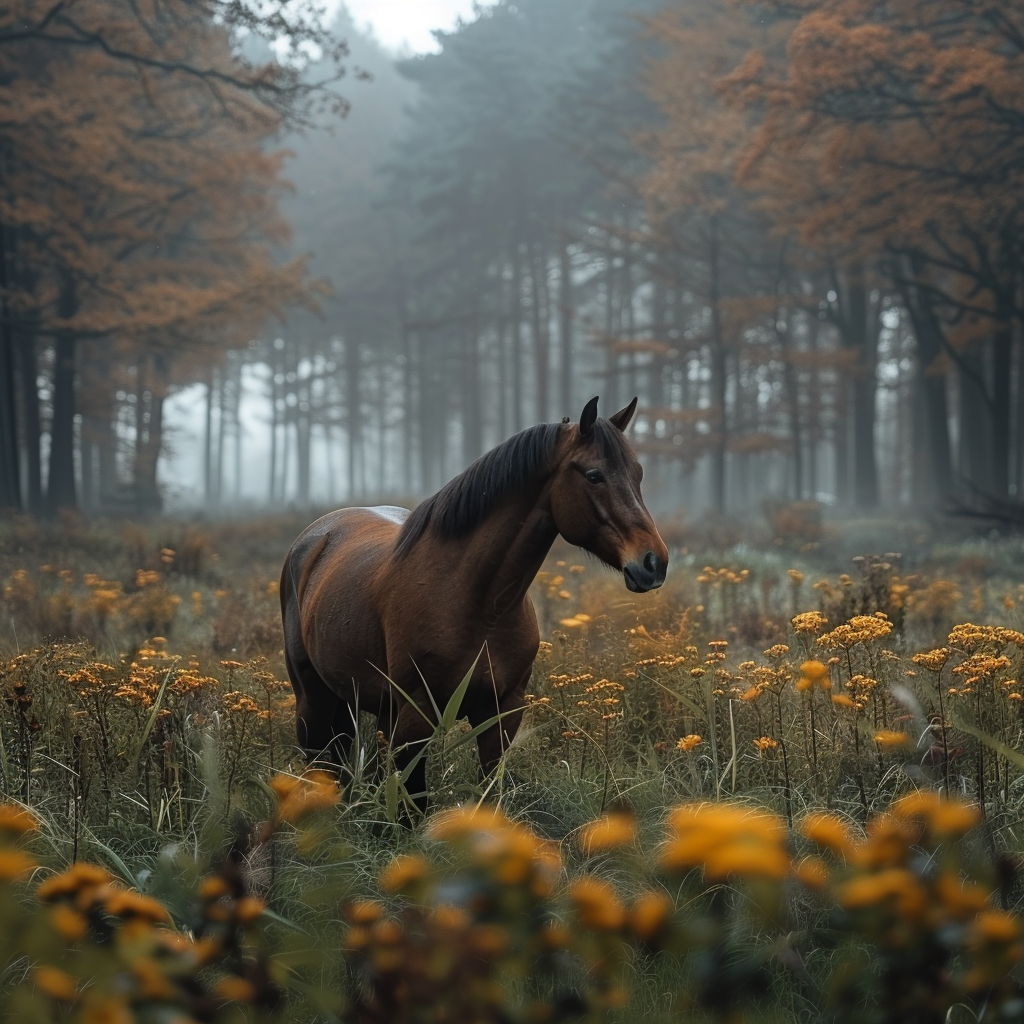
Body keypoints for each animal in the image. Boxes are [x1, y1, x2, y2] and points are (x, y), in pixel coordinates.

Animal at [279, 396, 668, 807]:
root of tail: (314, 537)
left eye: (638, 474)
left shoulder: (501, 713)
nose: (653, 562)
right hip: (313, 701)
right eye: (594, 476)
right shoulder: (417, 714)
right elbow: (412, 802)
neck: (479, 605)